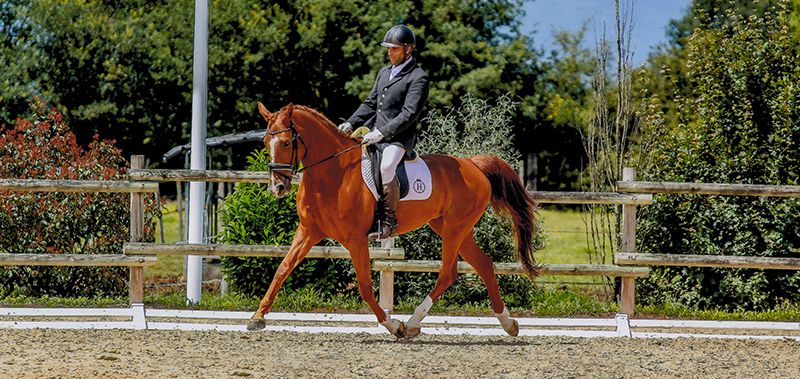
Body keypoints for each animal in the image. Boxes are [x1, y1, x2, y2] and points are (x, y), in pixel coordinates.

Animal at [248, 102, 536, 340]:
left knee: (447, 272)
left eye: (286, 143)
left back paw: (412, 324)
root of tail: (473, 164)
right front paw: (257, 318)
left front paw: (393, 325)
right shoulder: (308, 231)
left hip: (455, 228)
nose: (278, 187)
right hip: (452, 228)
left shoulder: (356, 240)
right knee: (484, 265)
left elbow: (365, 287)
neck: (333, 174)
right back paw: (508, 323)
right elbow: (282, 269)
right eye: (265, 141)